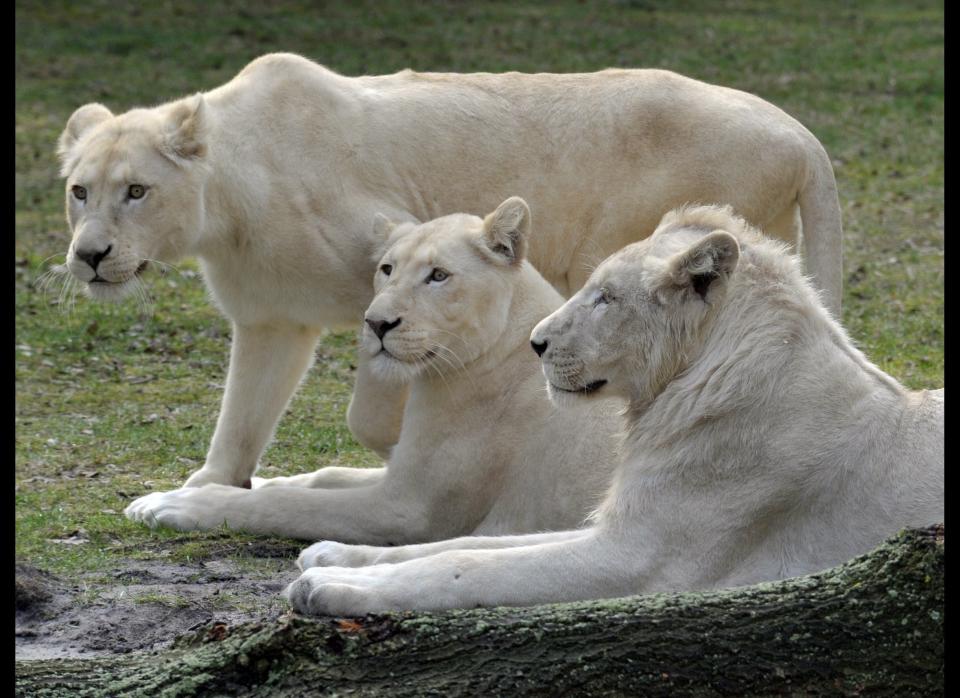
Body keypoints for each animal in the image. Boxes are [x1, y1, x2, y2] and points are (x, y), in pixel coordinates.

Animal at [56, 51, 844, 492]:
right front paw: (213, 483)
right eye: (80, 190)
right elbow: (242, 412)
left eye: (136, 190)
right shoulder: (271, 319)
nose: (90, 255)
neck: (226, 204)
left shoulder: (391, 280)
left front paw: (396, 445)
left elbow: (374, 395)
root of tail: (799, 131)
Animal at [124, 198, 624, 540]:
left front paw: (177, 504)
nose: (377, 323)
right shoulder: (400, 473)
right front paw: (257, 480)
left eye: (438, 275)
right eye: (387, 269)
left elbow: (290, 505)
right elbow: (323, 476)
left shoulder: (409, 508)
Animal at [286, 204, 944, 612]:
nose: (535, 343)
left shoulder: (640, 559)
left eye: (605, 298)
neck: (667, 401)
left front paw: (331, 586)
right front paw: (334, 556)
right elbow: (458, 546)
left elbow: (469, 566)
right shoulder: (615, 526)